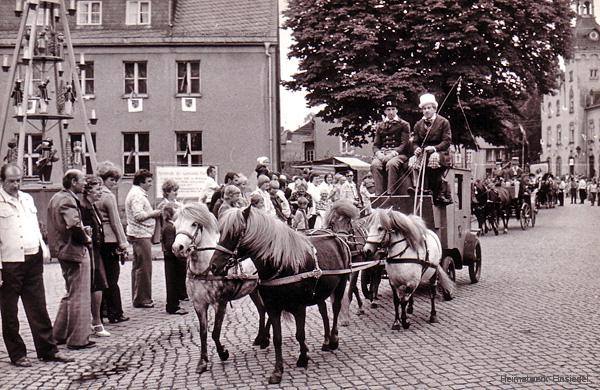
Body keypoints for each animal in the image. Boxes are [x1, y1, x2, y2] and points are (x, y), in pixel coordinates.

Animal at [171, 203, 270, 374]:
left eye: (194, 224)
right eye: (175, 225)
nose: (178, 248)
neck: (205, 269)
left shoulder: (220, 302)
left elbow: (215, 332)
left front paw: (223, 353)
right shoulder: (199, 304)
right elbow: (203, 333)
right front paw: (202, 362)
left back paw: (266, 338)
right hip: (253, 289)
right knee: (262, 309)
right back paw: (260, 338)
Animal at [211, 207, 352, 384]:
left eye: (235, 233)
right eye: (221, 231)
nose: (213, 266)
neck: (283, 264)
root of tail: (336, 235)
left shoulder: (299, 306)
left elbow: (300, 334)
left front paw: (303, 358)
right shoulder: (273, 307)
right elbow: (277, 339)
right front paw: (278, 371)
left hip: (341, 284)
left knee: (336, 308)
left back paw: (333, 339)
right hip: (320, 291)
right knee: (324, 310)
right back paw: (326, 341)